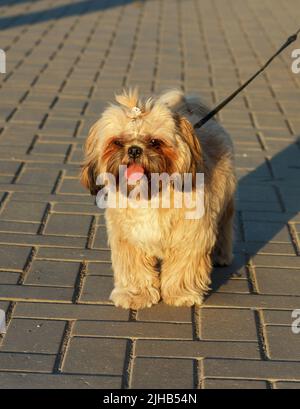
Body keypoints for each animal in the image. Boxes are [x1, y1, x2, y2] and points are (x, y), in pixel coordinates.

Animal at [81, 87, 236, 308]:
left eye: (154, 142)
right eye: (117, 142)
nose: (134, 150)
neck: (149, 194)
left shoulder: (188, 235)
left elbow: (182, 266)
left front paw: (180, 294)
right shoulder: (129, 239)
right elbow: (135, 269)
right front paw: (136, 294)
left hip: (224, 198)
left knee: (224, 226)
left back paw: (221, 255)